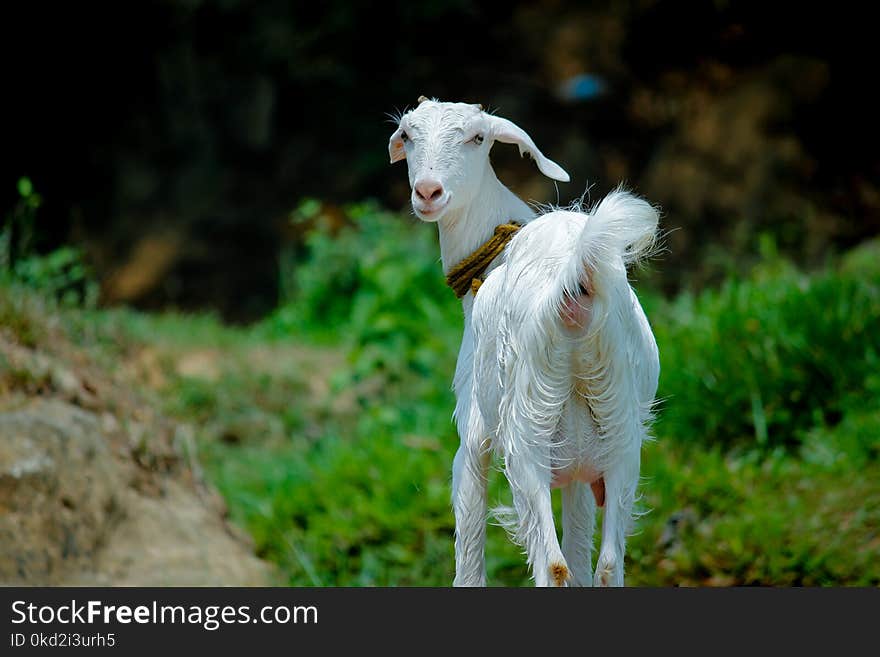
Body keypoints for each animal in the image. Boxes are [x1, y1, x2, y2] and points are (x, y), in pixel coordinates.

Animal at [388, 97, 656, 584]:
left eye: (478, 137)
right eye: (408, 135)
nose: (429, 192)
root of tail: (574, 282)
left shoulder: (472, 434)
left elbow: (469, 552)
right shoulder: (578, 471)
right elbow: (583, 550)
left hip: (525, 430)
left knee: (552, 563)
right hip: (620, 435)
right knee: (607, 563)